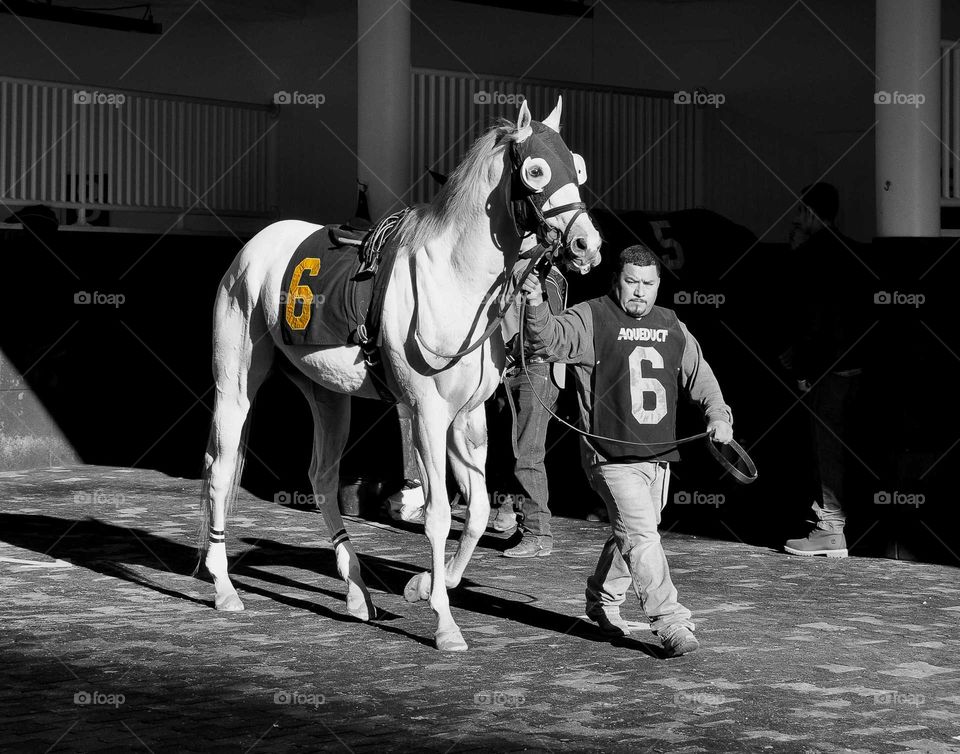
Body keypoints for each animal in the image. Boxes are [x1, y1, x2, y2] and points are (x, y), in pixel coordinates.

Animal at [198, 97, 600, 648]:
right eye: (536, 171)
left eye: (577, 168)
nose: (587, 245)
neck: (454, 279)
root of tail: (254, 247)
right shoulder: (427, 415)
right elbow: (437, 515)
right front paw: (445, 623)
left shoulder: (469, 417)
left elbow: (475, 512)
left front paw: (424, 584)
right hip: (235, 383)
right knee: (221, 468)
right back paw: (223, 588)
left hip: (327, 393)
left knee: (322, 479)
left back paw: (356, 593)